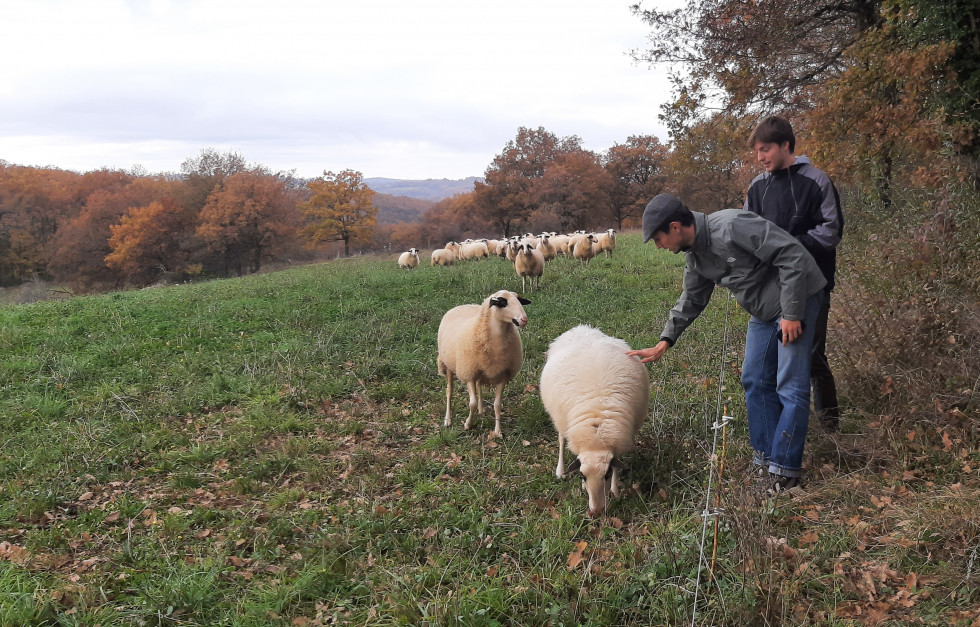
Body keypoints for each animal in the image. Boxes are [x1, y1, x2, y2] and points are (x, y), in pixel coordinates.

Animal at [436, 290, 528, 434]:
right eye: (502, 302)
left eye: (520, 300)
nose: (524, 319)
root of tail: (462, 305)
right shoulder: (469, 374)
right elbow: (471, 403)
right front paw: (467, 424)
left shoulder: (503, 375)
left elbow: (497, 405)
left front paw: (498, 431)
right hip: (447, 365)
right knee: (449, 392)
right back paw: (448, 420)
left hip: (481, 370)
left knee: (479, 386)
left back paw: (481, 410)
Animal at [536, 326, 652, 516]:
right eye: (582, 476)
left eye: (606, 475)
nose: (596, 512)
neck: (596, 438)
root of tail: (582, 327)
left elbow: (616, 464)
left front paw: (615, 490)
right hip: (559, 418)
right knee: (561, 439)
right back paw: (560, 471)